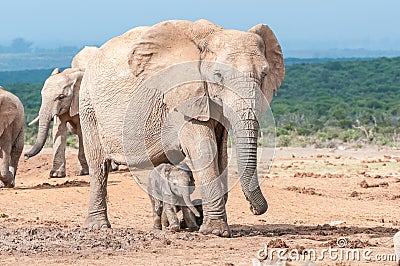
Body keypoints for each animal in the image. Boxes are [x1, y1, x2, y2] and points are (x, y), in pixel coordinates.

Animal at [24, 46, 98, 178]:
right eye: (42, 95)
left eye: (61, 97)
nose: (25, 156)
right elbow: (59, 129)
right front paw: (56, 175)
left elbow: (81, 131)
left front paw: (83, 172)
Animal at [79, 20, 284, 237]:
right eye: (218, 75)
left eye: (264, 74)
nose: (255, 210)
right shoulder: (182, 96)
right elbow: (205, 149)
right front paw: (215, 232)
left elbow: (221, 154)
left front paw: (205, 225)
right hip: (88, 106)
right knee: (98, 165)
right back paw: (98, 226)